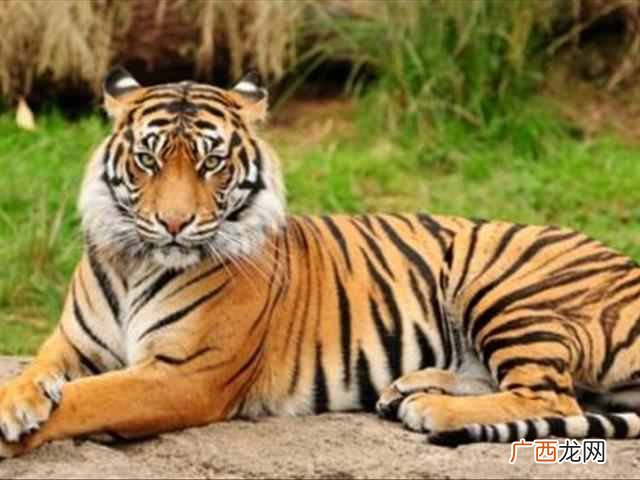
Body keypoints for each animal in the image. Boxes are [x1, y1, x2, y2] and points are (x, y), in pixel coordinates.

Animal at [1, 67, 640, 458]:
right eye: (147, 160)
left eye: (212, 163)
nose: (175, 223)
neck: (136, 262)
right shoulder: (73, 343)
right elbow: (34, 373)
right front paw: (17, 403)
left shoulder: (185, 374)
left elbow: (87, 399)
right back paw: (407, 387)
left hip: (504, 287)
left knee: (550, 395)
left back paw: (429, 407)